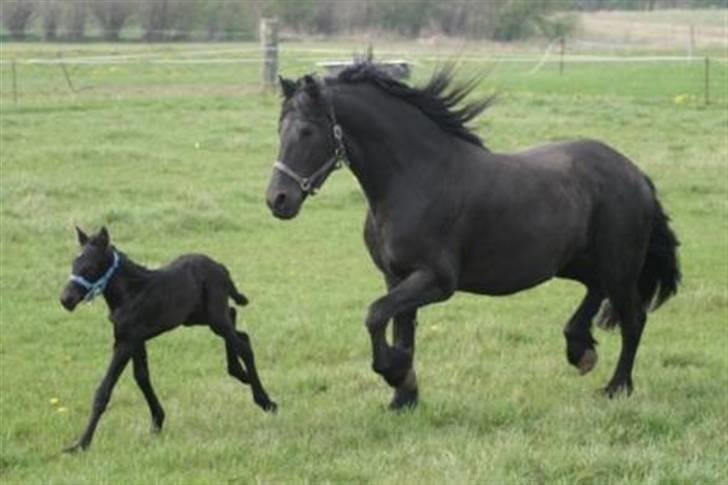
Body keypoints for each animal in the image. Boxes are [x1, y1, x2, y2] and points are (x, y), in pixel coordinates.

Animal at [59, 225, 276, 452]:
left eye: (90, 267)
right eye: (74, 264)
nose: (66, 299)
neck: (131, 292)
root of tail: (221, 267)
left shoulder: (125, 342)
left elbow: (104, 390)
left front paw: (80, 444)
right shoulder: (136, 339)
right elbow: (142, 377)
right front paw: (157, 421)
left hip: (213, 316)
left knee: (242, 343)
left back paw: (265, 400)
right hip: (198, 317)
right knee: (237, 323)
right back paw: (240, 373)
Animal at [264, 61, 680, 408]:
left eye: (306, 130)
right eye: (279, 130)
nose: (277, 200)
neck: (415, 177)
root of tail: (636, 174)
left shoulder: (437, 280)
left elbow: (375, 315)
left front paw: (394, 373)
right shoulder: (396, 276)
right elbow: (400, 329)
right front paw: (404, 397)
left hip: (618, 263)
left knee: (633, 318)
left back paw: (617, 386)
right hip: (575, 262)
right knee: (596, 289)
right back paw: (580, 350)